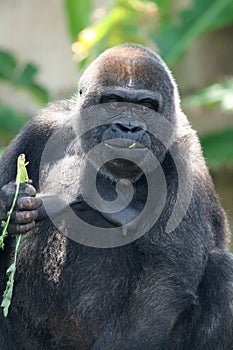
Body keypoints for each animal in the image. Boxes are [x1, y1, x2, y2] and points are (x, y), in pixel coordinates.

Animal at [0, 44, 233, 350]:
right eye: (113, 101)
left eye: (145, 106)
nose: (128, 128)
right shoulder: (40, 127)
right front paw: (11, 204)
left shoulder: (186, 160)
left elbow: (165, 279)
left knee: (222, 270)